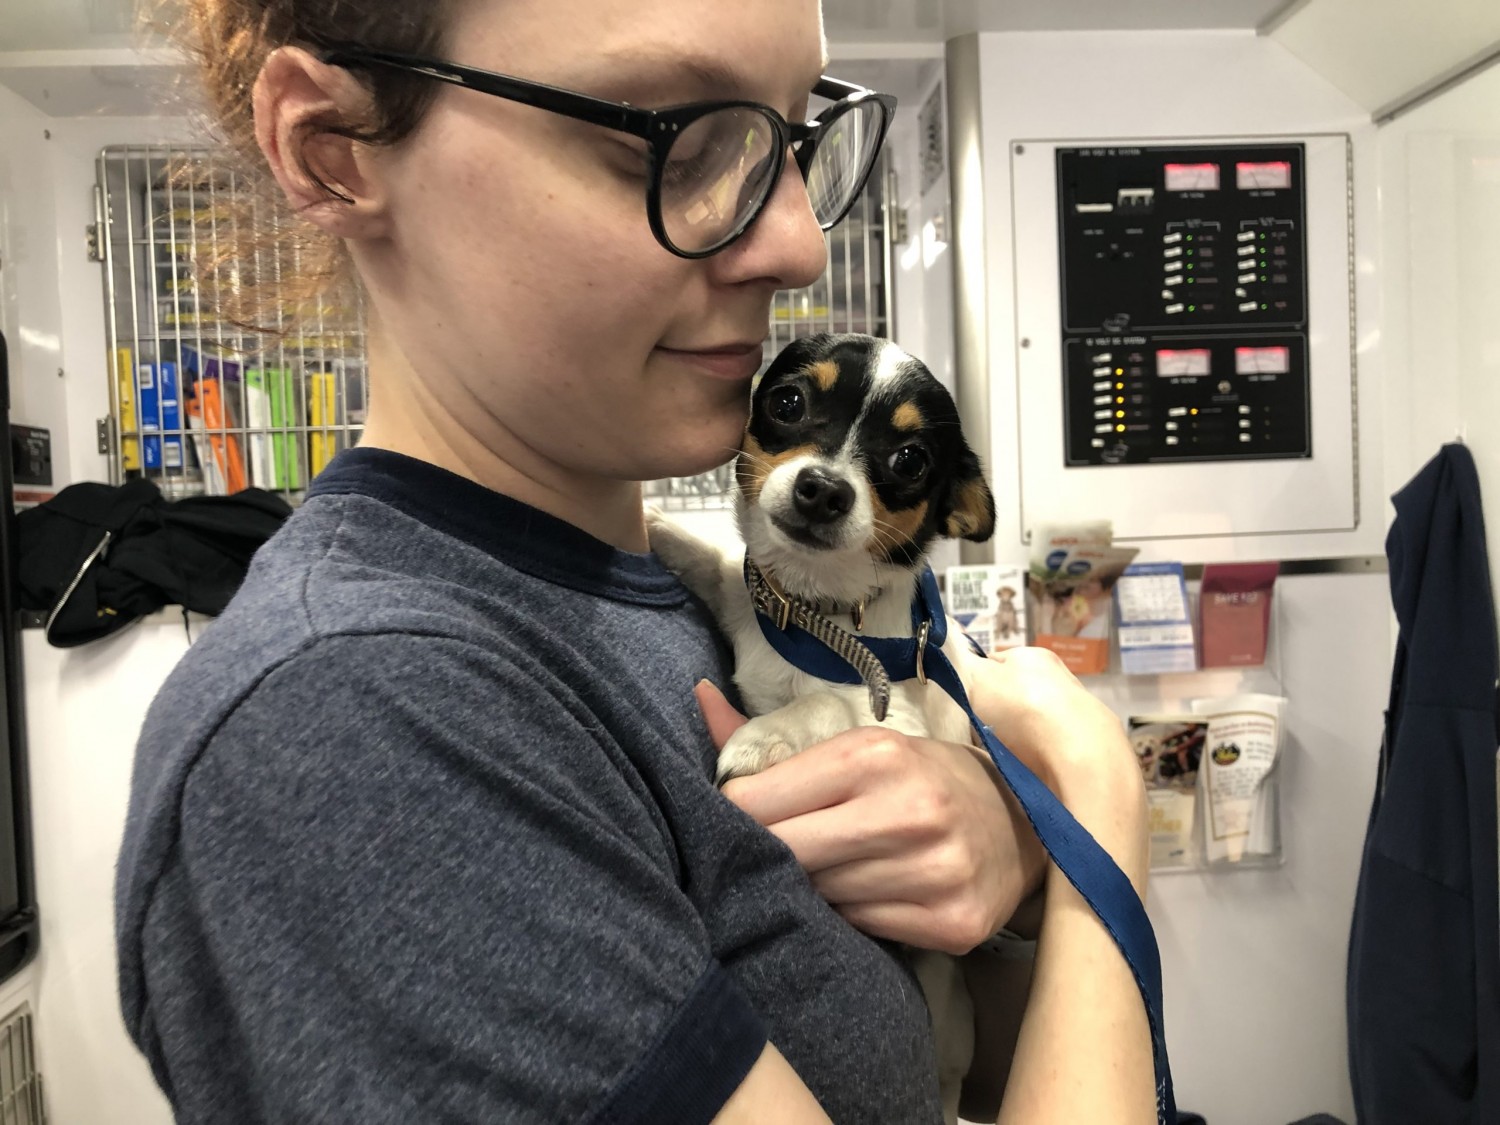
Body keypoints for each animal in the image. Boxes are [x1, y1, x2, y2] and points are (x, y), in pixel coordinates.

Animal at [648, 330, 990, 1122]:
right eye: (787, 402)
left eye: (909, 460)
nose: (825, 488)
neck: (811, 616)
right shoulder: (751, 606)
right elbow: (725, 571)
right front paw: (663, 529)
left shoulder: (896, 715)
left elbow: (826, 703)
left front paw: (759, 737)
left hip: (952, 1025)